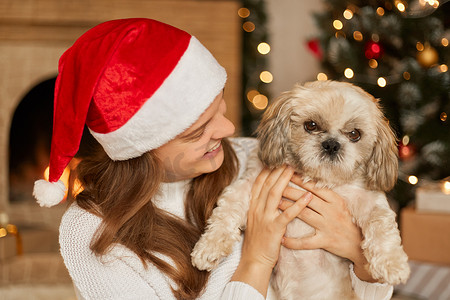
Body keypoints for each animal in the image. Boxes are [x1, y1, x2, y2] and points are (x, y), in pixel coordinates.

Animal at [192, 81, 410, 298]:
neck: (314, 177)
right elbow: (225, 212)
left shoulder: (368, 201)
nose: (331, 145)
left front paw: (393, 264)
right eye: (311, 125)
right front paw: (209, 246)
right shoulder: (248, 185)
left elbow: (380, 223)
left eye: (355, 134)